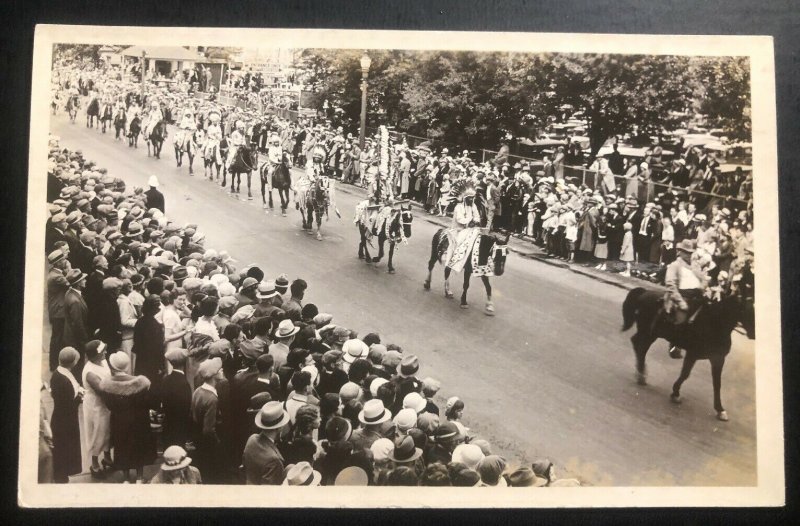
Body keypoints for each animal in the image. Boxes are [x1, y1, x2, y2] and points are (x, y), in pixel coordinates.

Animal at [620, 286, 748, 422]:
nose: (753, 333)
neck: (714, 322)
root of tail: (645, 292)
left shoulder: (718, 359)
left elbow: (717, 383)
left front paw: (720, 409)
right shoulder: (692, 354)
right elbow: (685, 374)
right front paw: (675, 394)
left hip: (650, 334)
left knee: (638, 345)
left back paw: (641, 373)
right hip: (649, 333)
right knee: (639, 346)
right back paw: (641, 374)